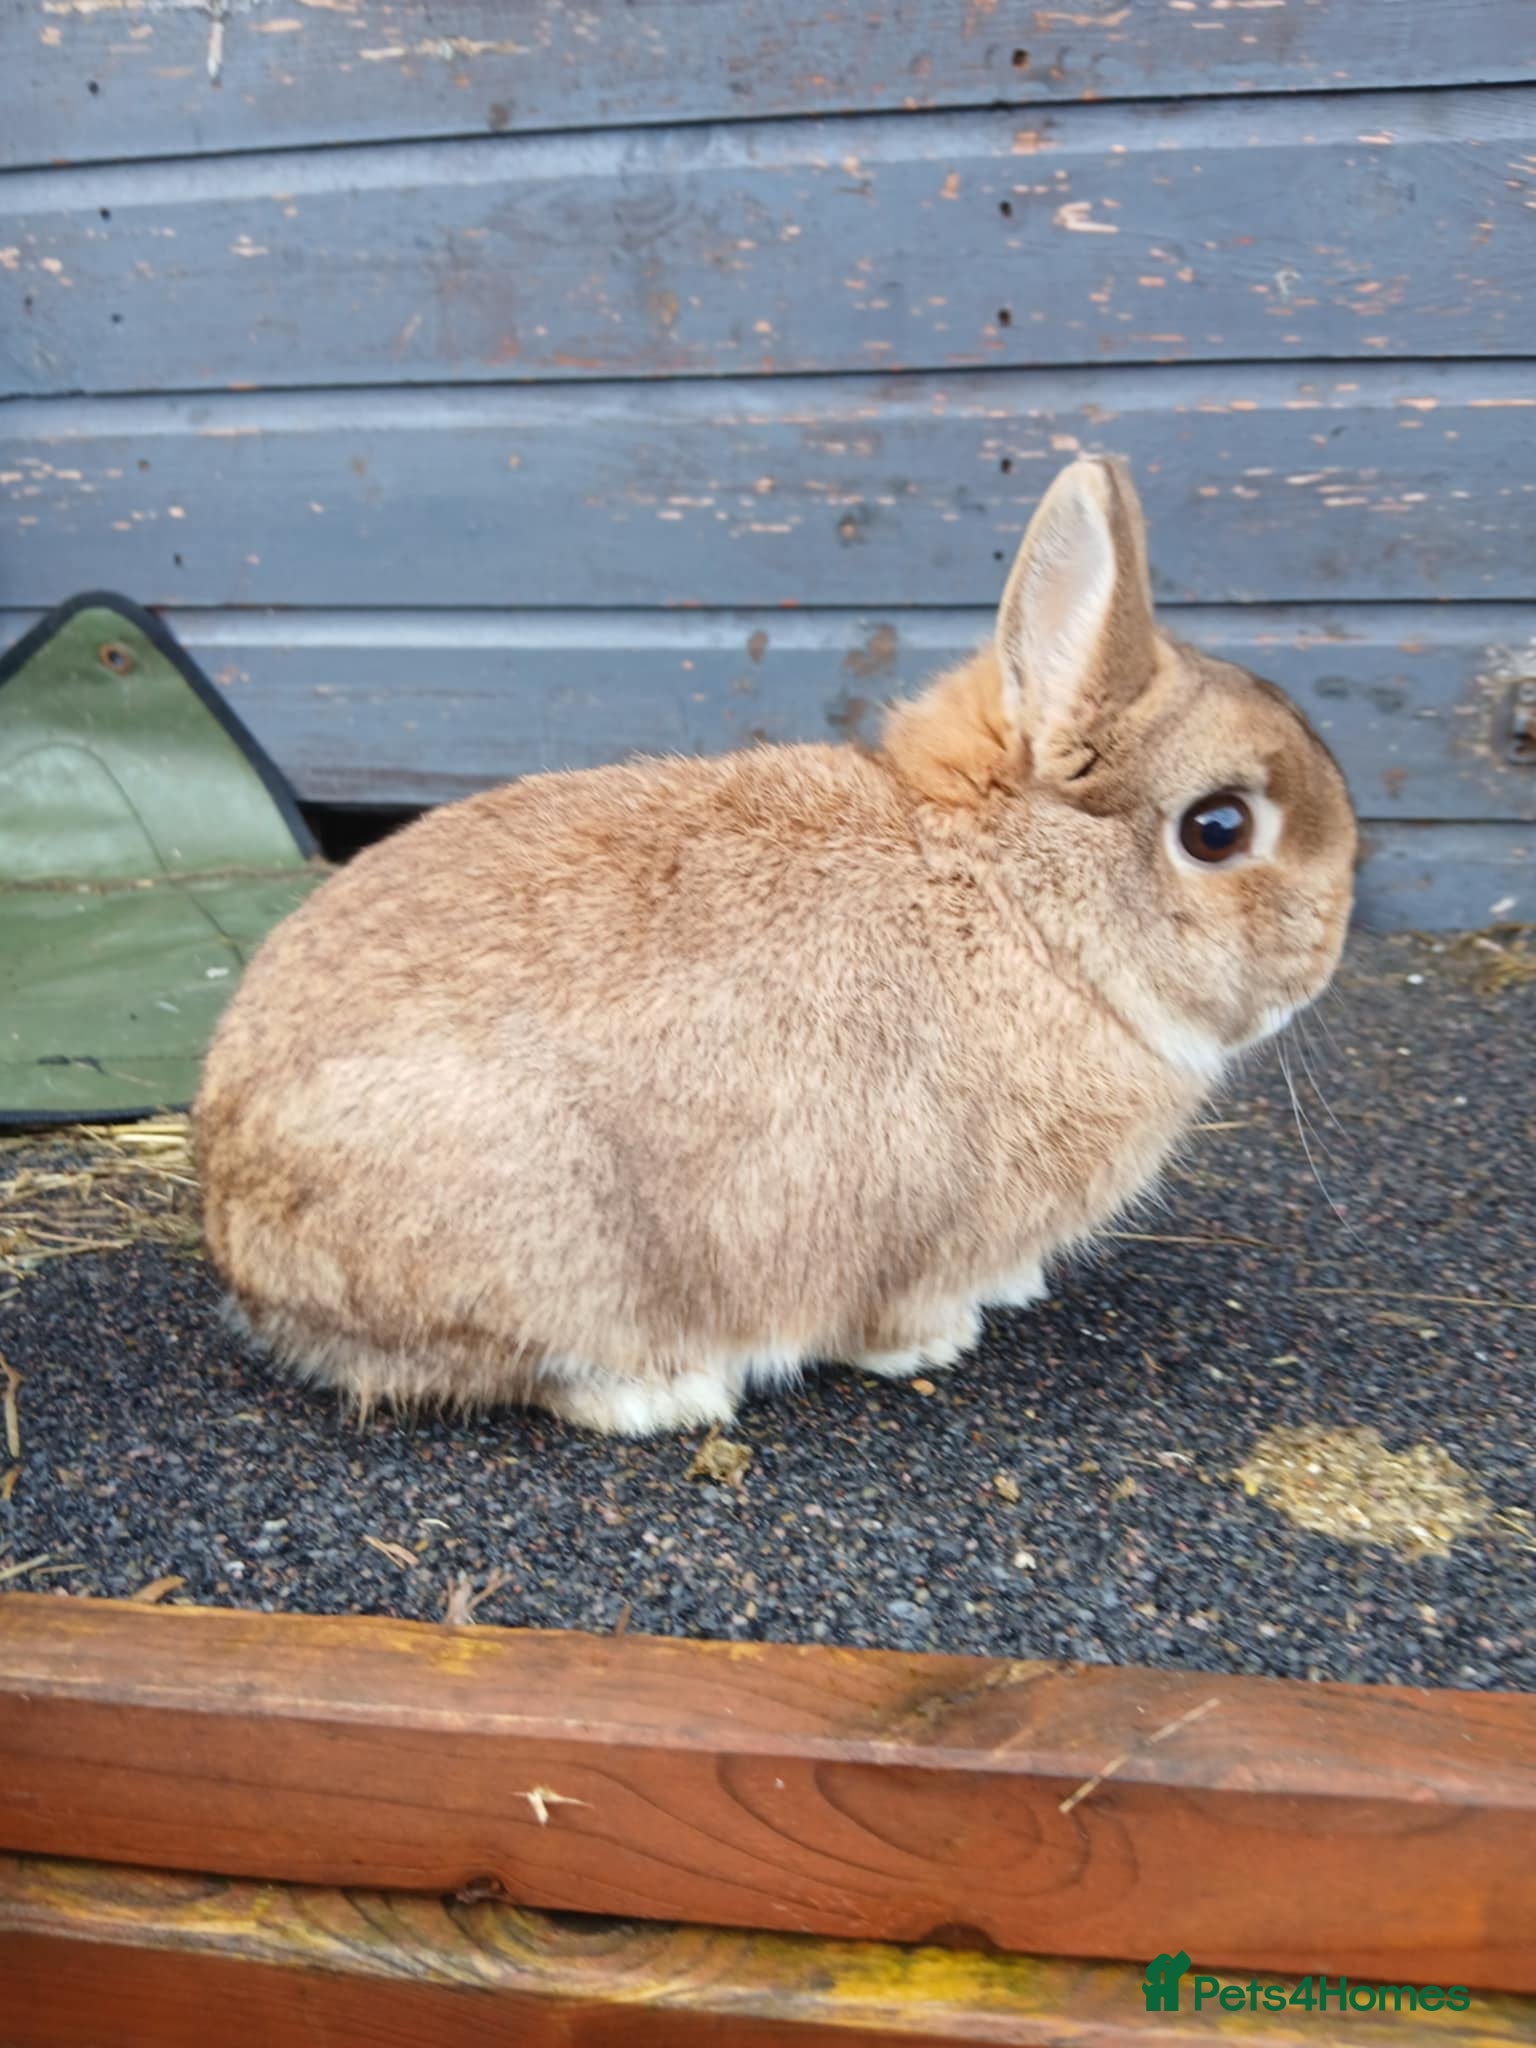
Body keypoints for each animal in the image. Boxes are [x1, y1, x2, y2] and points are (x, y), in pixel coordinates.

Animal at [194, 455, 1356, 1437]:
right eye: (1218, 829)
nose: (1328, 953)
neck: (1016, 903)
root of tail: (240, 1228)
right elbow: (892, 1308)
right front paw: (935, 1342)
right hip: (555, 1245)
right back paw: (669, 1395)